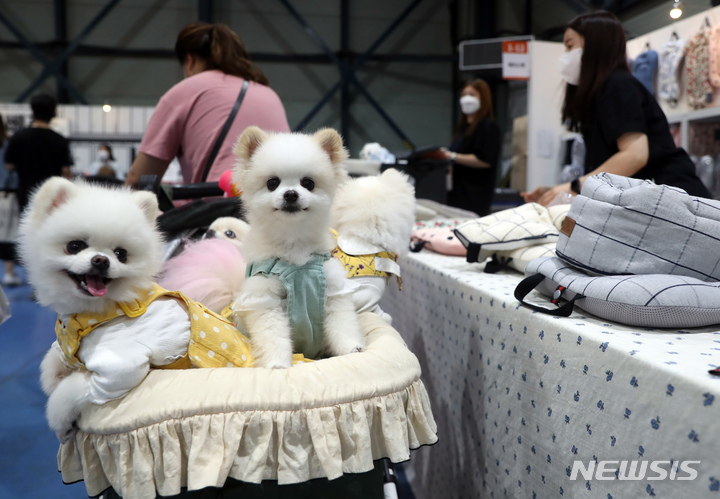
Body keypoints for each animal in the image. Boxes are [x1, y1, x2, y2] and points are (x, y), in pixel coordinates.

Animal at [18, 178, 255, 444]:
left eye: (121, 254)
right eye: (74, 246)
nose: (101, 260)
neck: (96, 313)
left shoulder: (118, 371)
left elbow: (69, 393)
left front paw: (59, 421)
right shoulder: (66, 344)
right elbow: (53, 356)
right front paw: (52, 377)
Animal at [232, 128, 366, 372]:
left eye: (308, 183)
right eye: (272, 183)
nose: (291, 194)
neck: (294, 244)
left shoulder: (333, 291)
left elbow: (342, 324)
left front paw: (351, 347)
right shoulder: (265, 299)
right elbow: (273, 335)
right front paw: (276, 363)